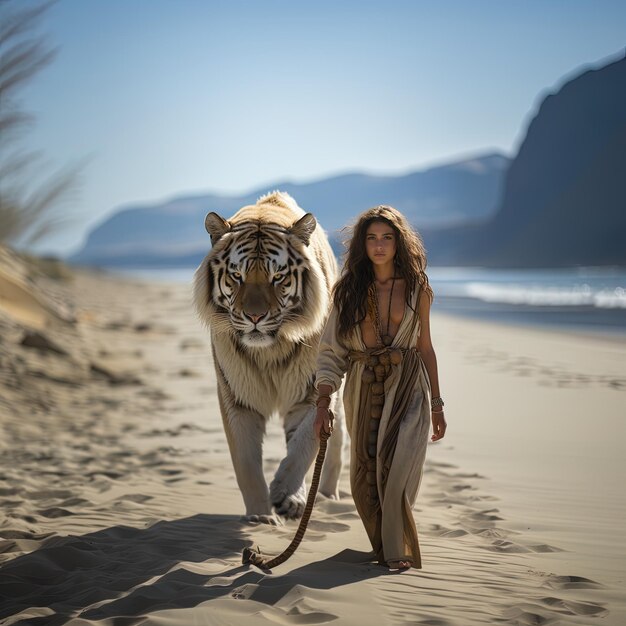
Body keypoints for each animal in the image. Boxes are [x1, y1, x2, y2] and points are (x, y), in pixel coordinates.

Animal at [193, 190, 344, 520]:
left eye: (278, 277)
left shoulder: (312, 390)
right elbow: (245, 462)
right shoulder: (236, 397)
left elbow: (305, 445)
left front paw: (286, 495)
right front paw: (260, 515)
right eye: (237, 275)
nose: (255, 316)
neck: (269, 351)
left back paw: (325, 496)